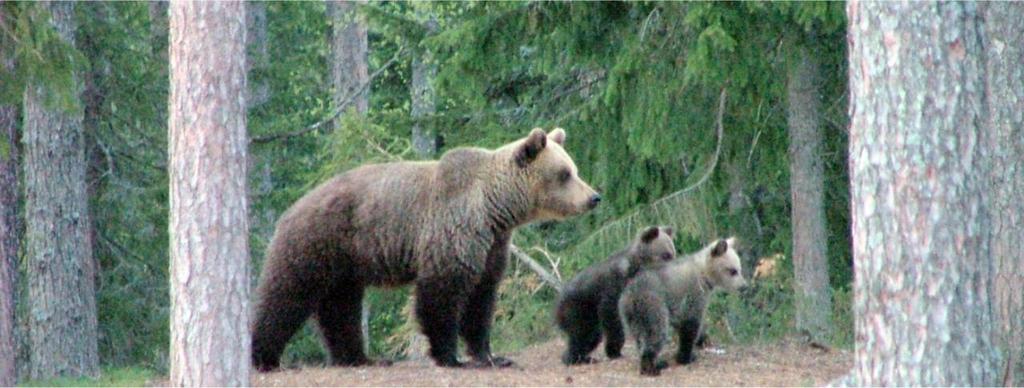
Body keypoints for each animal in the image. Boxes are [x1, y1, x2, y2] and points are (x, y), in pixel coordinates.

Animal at [251, 127, 598, 370]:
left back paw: (360, 357)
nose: (594, 197)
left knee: (340, 308)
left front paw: (491, 356)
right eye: (565, 174)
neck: (494, 208)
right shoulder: (454, 229)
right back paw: (263, 356)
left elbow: (482, 299)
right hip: (317, 241)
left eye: (574, 169)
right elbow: (442, 294)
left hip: (345, 263)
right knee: (286, 295)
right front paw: (450, 356)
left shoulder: (492, 245)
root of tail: (291, 208)